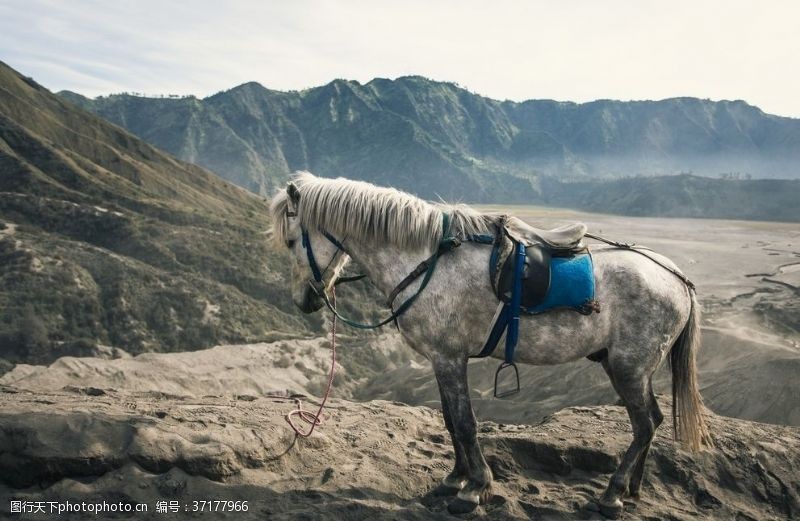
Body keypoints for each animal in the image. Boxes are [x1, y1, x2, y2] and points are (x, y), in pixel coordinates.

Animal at [270, 172, 712, 516]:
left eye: (291, 241)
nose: (304, 300)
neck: (428, 261)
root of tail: (676, 277)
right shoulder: (440, 360)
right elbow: (450, 420)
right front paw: (455, 478)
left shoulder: (450, 358)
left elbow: (465, 423)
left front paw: (474, 488)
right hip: (625, 366)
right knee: (653, 420)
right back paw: (633, 488)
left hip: (628, 368)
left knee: (644, 424)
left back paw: (613, 494)